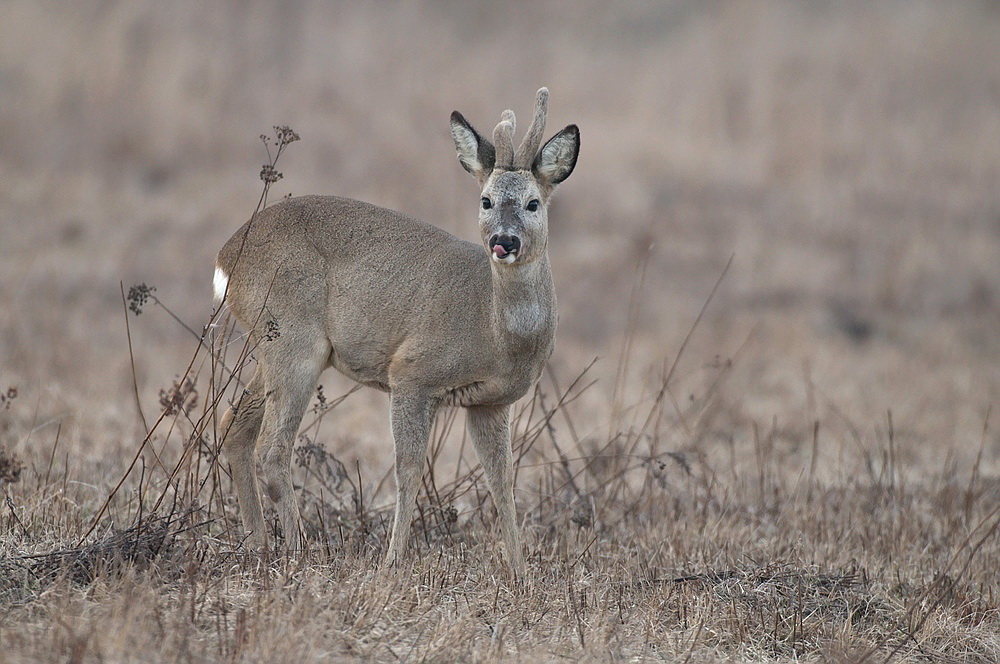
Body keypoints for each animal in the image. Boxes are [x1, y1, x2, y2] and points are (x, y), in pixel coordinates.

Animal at [215, 88, 584, 576]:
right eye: (485, 200)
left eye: (533, 203)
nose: (503, 242)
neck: (493, 331)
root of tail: (225, 257)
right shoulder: (411, 373)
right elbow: (408, 469)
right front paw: (393, 562)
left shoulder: (490, 402)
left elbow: (502, 479)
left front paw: (521, 572)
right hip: (293, 340)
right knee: (272, 450)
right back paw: (297, 554)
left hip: (269, 345)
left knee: (234, 426)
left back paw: (258, 546)